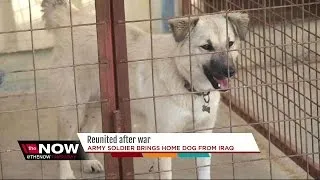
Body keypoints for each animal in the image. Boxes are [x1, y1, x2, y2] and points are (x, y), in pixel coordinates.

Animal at [40, 0, 250, 179]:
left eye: (230, 43)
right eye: (206, 46)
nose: (231, 71)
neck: (186, 82)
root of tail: (70, 18)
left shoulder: (204, 133)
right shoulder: (164, 137)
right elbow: (165, 173)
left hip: (97, 105)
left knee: (84, 131)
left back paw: (88, 162)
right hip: (72, 108)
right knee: (64, 137)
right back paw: (66, 174)